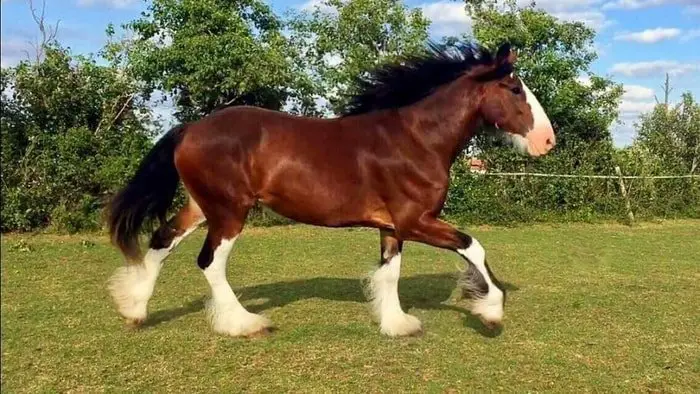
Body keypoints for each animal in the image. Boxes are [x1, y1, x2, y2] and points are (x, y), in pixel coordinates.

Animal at [106, 42, 556, 338]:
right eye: (514, 89)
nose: (547, 141)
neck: (417, 140)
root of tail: (189, 129)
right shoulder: (416, 220)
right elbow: (472, 245)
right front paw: (491, 310)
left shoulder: (392, 227)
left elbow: (390, 273)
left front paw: (397, 324)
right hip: (230, 211)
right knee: (210, 263)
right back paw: (245, 323)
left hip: (202, 206)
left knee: (161, 240)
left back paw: (134, 311)